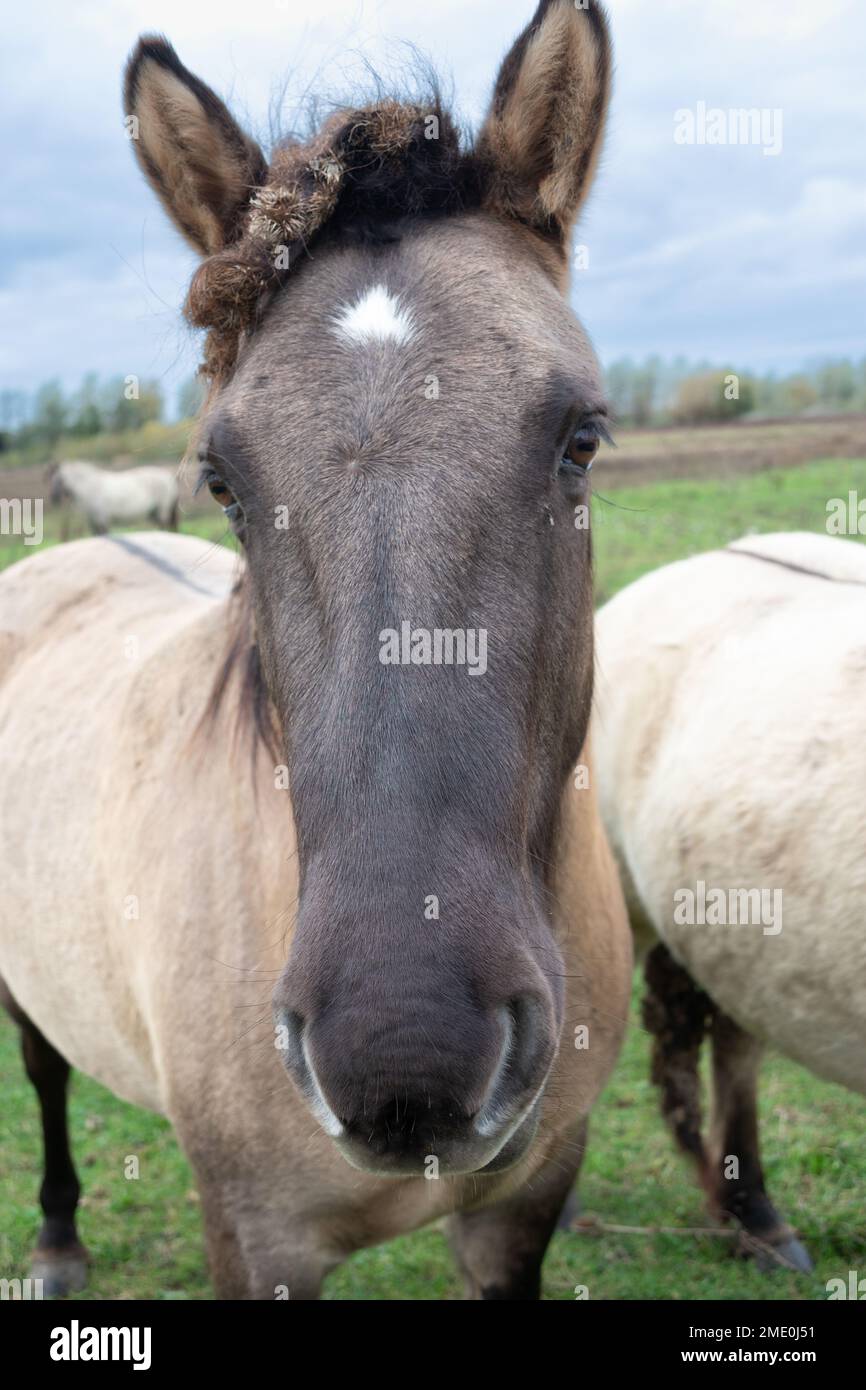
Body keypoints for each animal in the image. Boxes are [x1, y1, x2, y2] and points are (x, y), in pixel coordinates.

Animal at [50, 460, 179, 536]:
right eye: (53, 480)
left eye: (59, 480)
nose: (53, 499)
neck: (91, 486)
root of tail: (169, 478)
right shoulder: (93, 522)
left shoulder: (102, 520)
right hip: (153, 513)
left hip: (162, 511)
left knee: (165, 526)